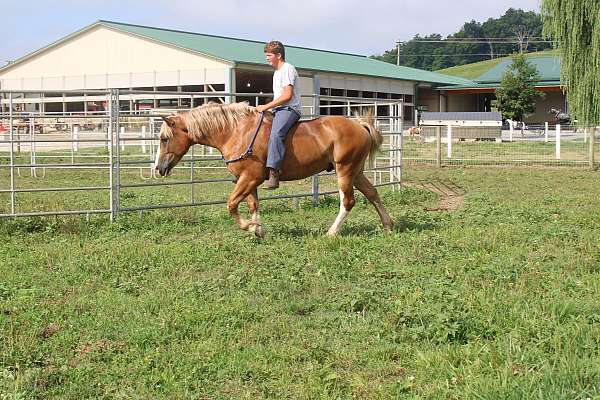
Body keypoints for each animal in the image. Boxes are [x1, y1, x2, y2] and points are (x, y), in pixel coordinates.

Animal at [154, 101, 394, 238]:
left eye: (164, 138)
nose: (159, 168)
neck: (235, 131)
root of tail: (359, 126)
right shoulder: (247, 179)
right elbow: (252, 204)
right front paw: (258, 229)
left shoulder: (250, 177)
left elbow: (231, 204)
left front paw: (250, 227)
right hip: (356, 172)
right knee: (372, 193)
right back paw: (388, 225)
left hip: (345, 171)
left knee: (348, 202)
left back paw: (332, 232)